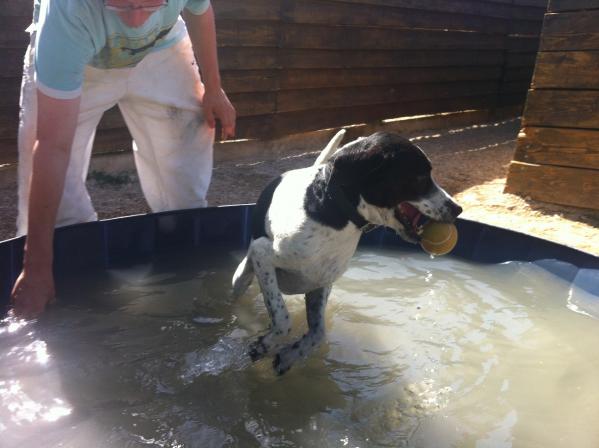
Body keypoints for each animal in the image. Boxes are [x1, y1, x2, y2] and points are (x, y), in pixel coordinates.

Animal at [232, 130, 462, 374]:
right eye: (419, 177)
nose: (458, 209)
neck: (334, 211)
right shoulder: (262, 255)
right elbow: (283, 318)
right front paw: (265, 345)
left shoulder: (320, 284)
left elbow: (318, 334)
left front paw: (289, 356)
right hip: (242, 277)